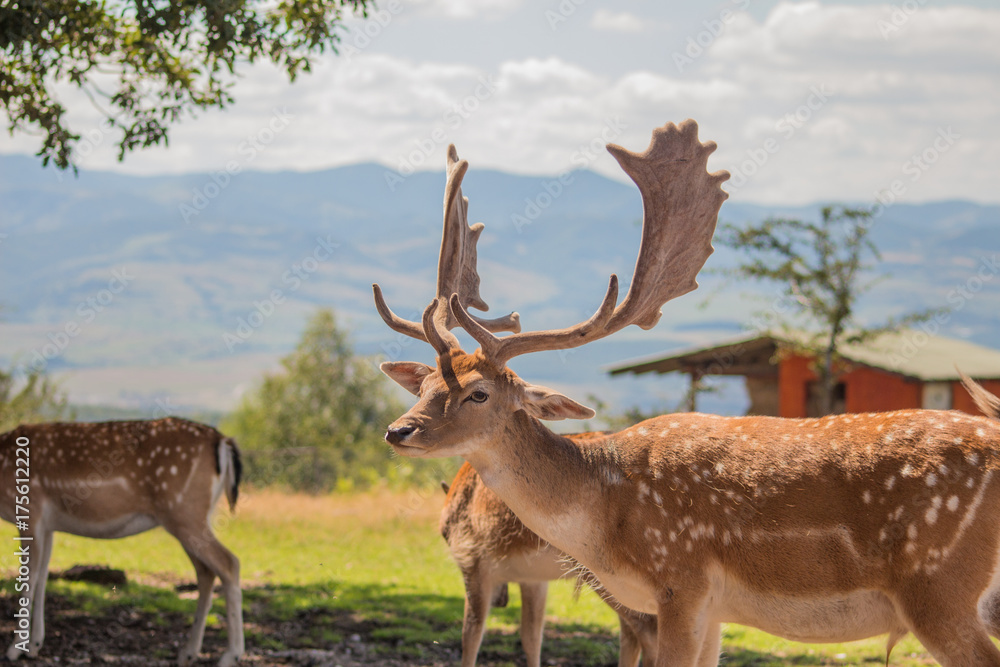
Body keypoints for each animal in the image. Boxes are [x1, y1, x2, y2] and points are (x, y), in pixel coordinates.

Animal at [0, 418, 244, 667]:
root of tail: (223, 441)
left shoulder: (31, 511)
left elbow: (28, 578)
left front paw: (14, 649)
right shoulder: (48, 526)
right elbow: (42, 576)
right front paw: (33, 645)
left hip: (185, 513)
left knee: (229, 563)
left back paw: (230, 655)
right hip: (196, 518)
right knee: (206, 572)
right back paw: (188, 652)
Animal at [442, 448, 658, 667]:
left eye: (446, 536)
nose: (501, 601)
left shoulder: (473, 562)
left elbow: (470, 633)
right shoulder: (532, 579)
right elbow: (531, 636)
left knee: (647, 627)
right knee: (632, 630)